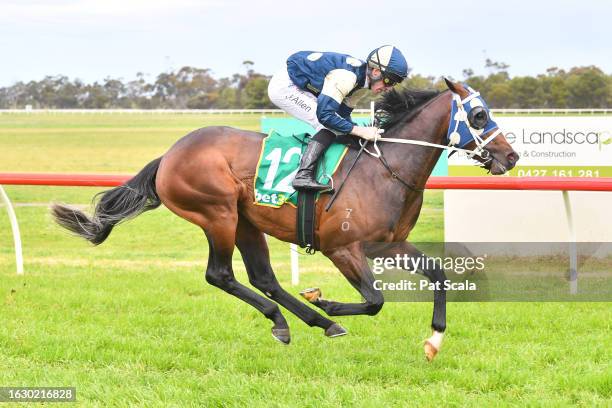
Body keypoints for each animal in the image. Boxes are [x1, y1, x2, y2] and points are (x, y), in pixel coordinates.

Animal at [51, 79, 516, 360]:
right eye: (478, 115)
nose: (510, 156)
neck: (386, 168)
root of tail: (169, 155)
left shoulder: (389, 244)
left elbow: (438, 274)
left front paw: (434, 340)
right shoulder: (342, 248)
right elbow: (375, 300)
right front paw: (326, 299)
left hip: (245, 221)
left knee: (263, 278)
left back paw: (310, 322)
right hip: (217, 213)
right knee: (220, 275)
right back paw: (302, 318)